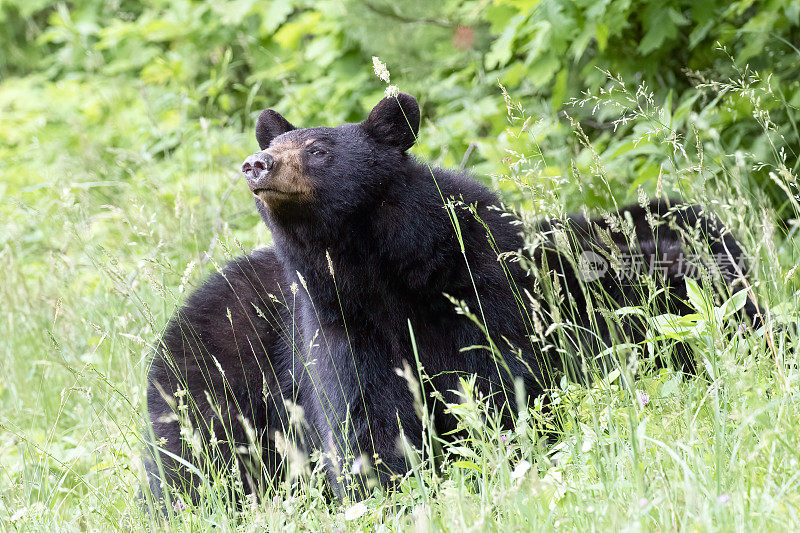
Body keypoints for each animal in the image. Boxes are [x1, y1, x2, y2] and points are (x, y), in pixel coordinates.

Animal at [147, 91, 760, 508]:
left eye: (318, 149)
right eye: (273, 143)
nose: (258, 164)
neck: (380, 275)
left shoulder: (481, 290)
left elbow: (499, 381)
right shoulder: (336, 327)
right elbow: (364, 418)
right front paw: (392, 488)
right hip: (206, 381)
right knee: (193, 461)